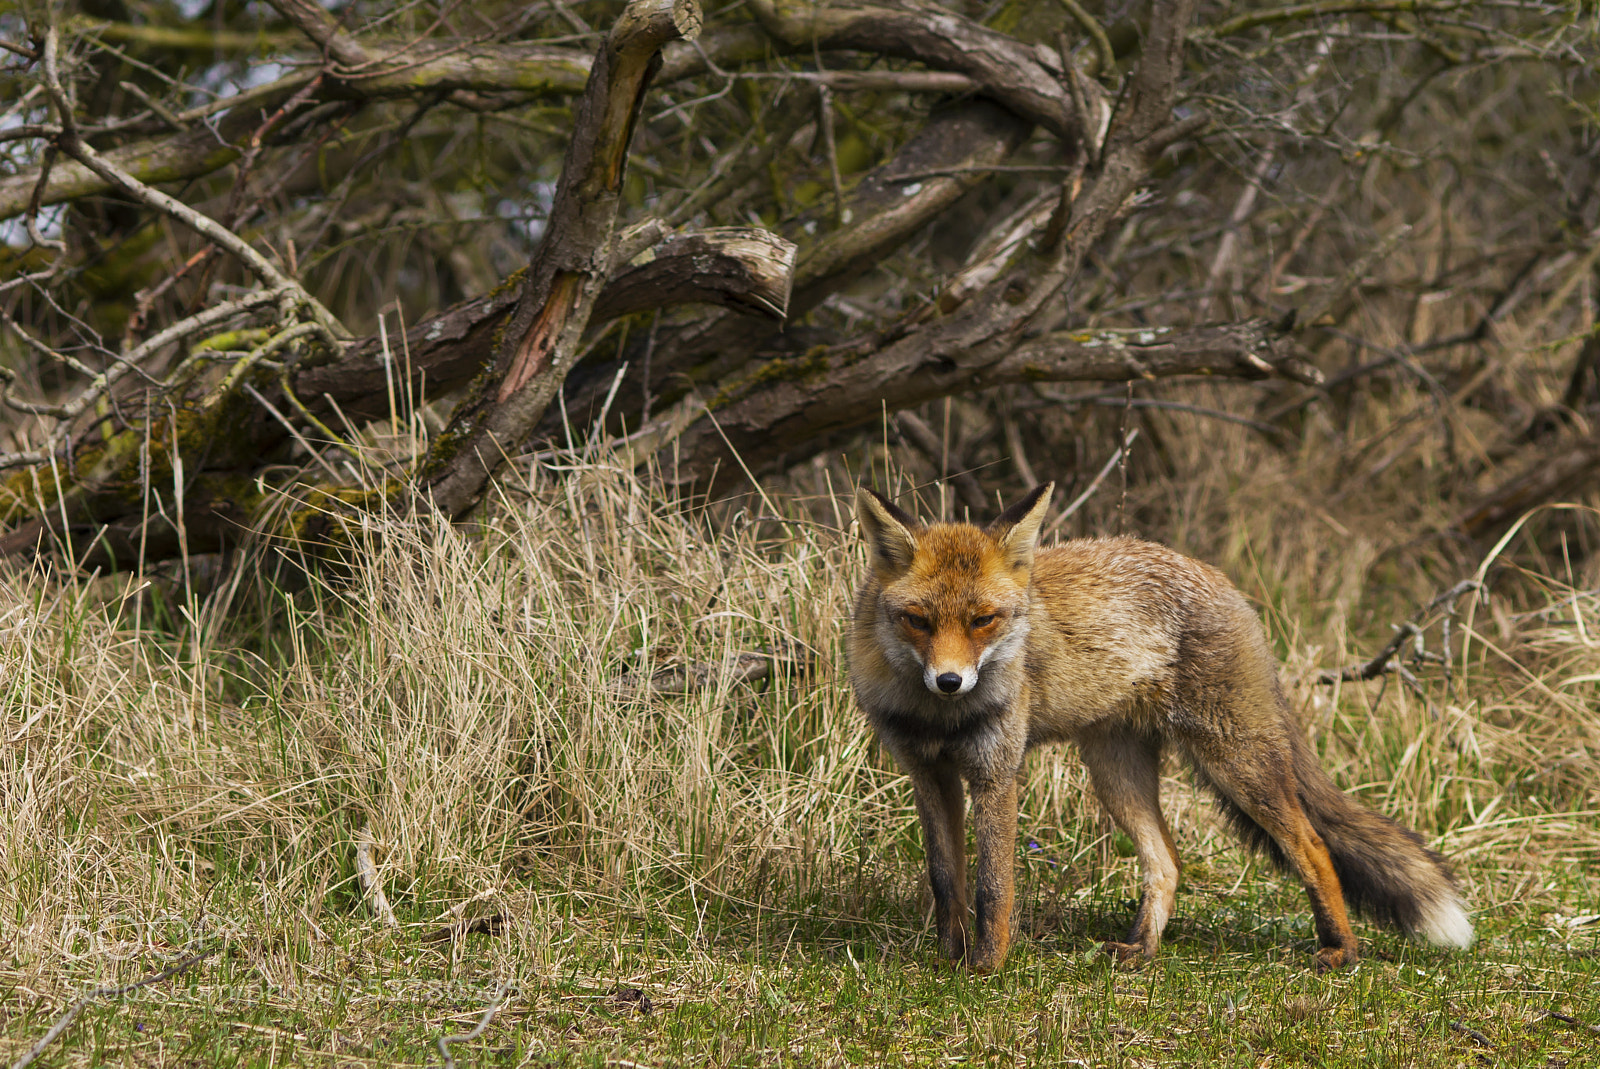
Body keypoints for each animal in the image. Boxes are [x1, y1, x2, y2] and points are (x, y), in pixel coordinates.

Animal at [849, 482, 1472, 974]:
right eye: (918, 621)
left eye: (983, 620)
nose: (950, 681)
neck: (939, 717)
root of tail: (1219, 578)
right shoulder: (928, 774)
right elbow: (945, 879)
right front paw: (946, 958)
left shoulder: (994, 771)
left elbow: (992, 886)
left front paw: (986, 967)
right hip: (1116, 771)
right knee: (1167, 861)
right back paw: (1142, 950)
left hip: (1234, 761)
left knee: (1312, 843)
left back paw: (1342, 949)